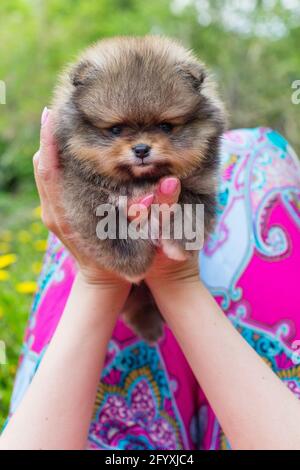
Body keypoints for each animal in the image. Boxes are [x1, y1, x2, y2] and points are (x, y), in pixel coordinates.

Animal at [51, 35, 226, 340]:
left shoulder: (200, 184)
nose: (142, 149)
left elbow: (191, 209)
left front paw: (179, 241)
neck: (139, 180)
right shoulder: (80, 192)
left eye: (166, 126)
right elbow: (108, 226)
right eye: (116, 129)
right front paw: (133, 261)